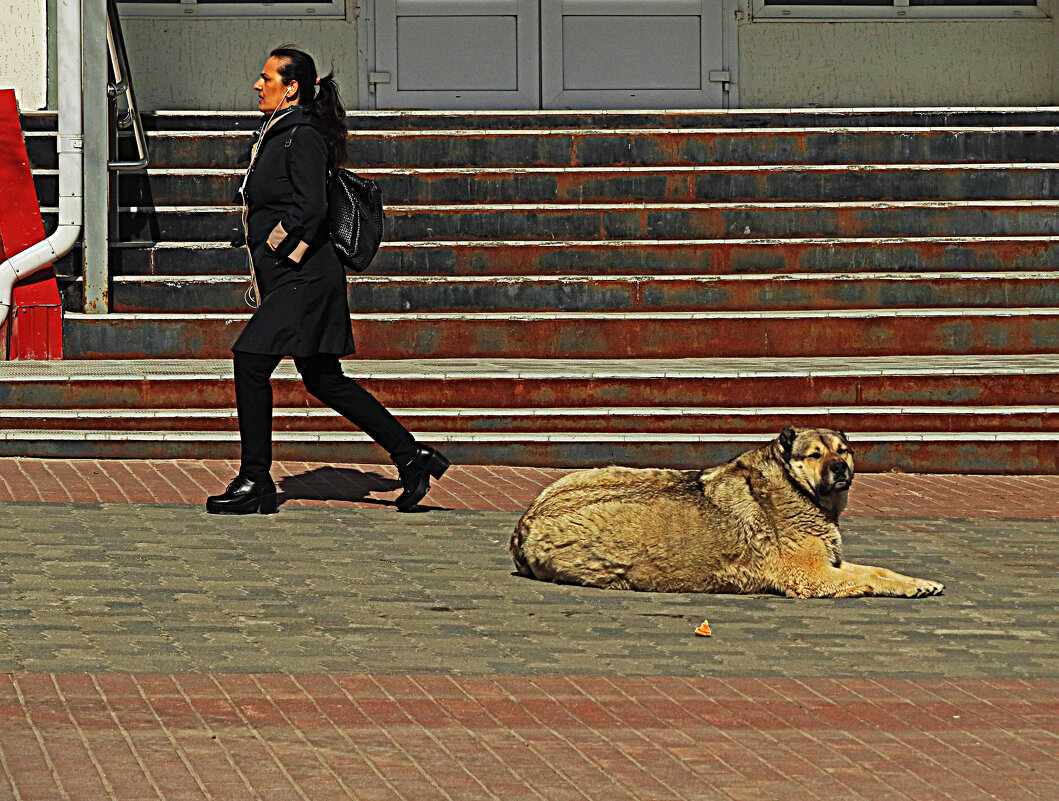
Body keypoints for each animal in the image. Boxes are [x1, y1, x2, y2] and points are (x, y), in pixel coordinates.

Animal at [508, 428, 948, 597]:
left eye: (844, 451)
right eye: (815, 455)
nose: (840, 469)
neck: (795, 485)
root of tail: (524, 525)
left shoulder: (829, 563)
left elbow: (879, 570)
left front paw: (916, 582)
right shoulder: (810, 576)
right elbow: (870, 579)